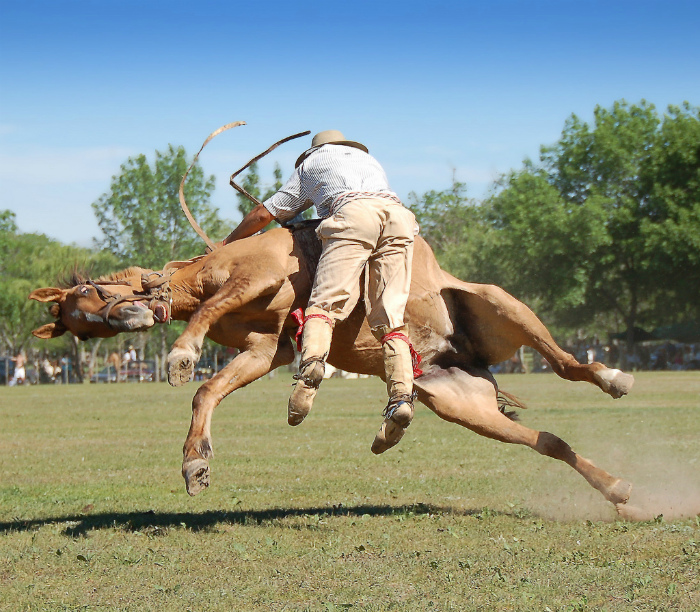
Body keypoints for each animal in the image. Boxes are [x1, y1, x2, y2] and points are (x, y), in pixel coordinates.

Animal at [30, 222, 636, 512]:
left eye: (88, 291)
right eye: (84, 330)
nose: (130, 318)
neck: (201, 272)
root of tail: (460, 356)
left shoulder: (262, 277)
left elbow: (207, 313)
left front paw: (181, 352)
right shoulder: (263, 351)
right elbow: (208, 392)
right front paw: (194, 464)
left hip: (502, 304)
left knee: (566, 366)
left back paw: (614, 378)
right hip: (463, 405)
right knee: (547, 440)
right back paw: (618, 489)